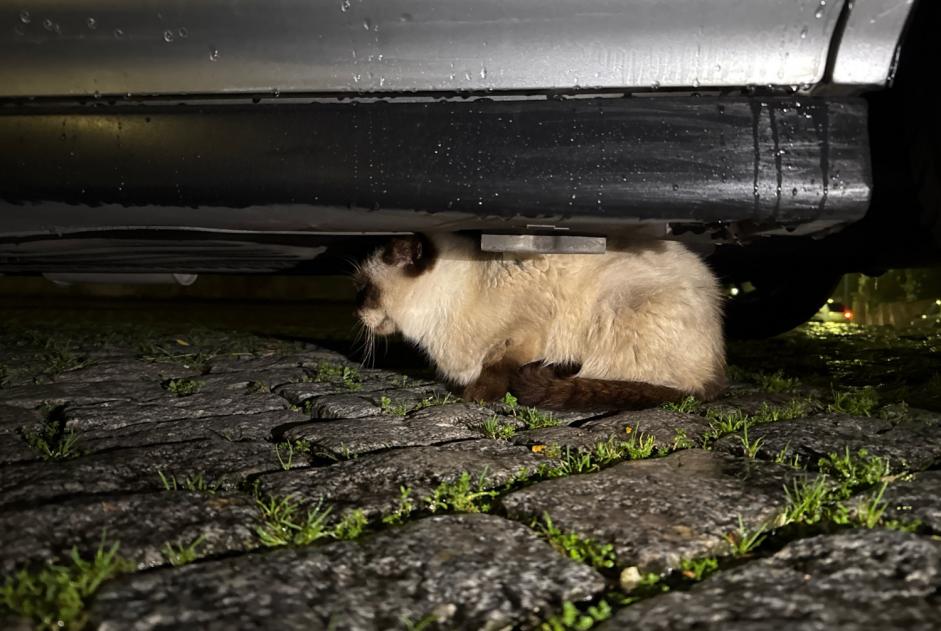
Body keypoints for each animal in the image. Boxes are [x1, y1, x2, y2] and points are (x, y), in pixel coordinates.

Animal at [352, 233, 728, 410]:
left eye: (364, 289)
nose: (356, 310)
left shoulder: (526, 331)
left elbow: (497, 366)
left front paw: (477, 396)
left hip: (617, 307)